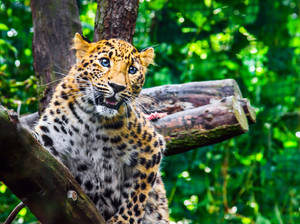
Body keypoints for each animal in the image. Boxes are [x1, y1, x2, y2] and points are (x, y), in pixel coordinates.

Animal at [33, 32, 169, 223]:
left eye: (132, 70)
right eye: (105, 62)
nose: (117, 87)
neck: (91, 121)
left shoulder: (152, 147)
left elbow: (136, 196)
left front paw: (122, 220)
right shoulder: (48, 140)